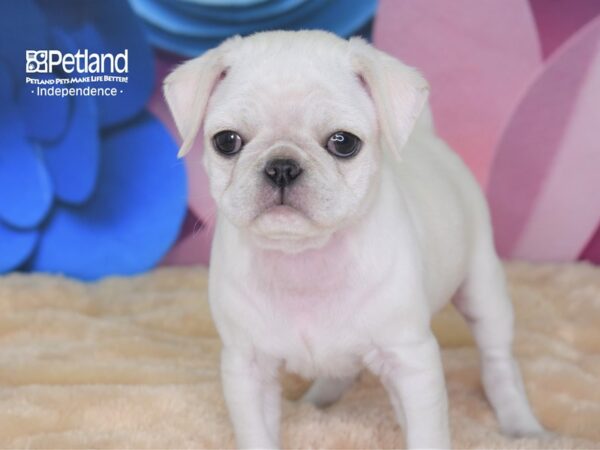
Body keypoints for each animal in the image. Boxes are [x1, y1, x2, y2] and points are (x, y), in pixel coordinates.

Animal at [163, 29, 544, 448]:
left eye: (343, 143)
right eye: (226, 141)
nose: (282, 166)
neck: (304, 259)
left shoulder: (411, 362)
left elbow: (426, 433)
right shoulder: (247, 368)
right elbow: (257, 435)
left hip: (482, 289)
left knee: (498, 362)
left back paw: (521, 425)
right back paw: (317, 402)